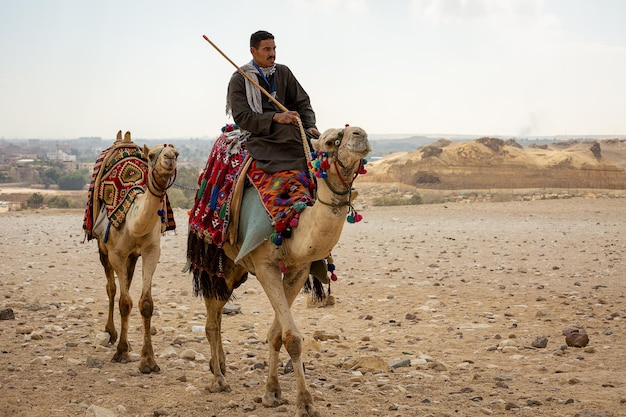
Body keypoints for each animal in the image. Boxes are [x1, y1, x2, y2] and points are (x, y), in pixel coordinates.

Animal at [85, 129, 178, 370]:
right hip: (103, 249)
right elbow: (124, 302)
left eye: (177, 153)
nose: (169, 158)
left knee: (125, 281)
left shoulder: (151, 251)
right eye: (152, 154)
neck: (132, 222)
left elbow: (146, 303)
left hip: (132, 256)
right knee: (112, 288)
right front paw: (121, 352)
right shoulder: (116, 253)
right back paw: (111, 333)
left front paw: (148, 361)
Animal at [188, 126, 368, 416]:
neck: (290, 221)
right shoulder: (265, 265)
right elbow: (292, 337)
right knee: (212, 320)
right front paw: (305, 403)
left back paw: (220, 367)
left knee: (217, 314)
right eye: (331, 141)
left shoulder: (299, 269)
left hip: (235, 270)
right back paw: (219, 380)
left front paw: (273, 392)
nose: (360, 134)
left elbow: (276, 334)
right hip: (212, 259)